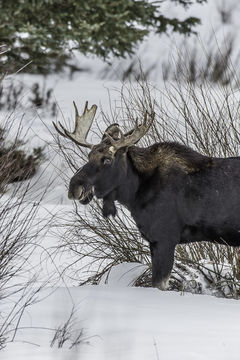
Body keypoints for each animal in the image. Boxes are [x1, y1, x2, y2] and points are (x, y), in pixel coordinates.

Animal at [53, 101, 240, 290]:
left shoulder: (164, 238)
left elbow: (158, 284)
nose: (74, 186)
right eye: (89, 156)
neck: (134, 194)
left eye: (107, 159)